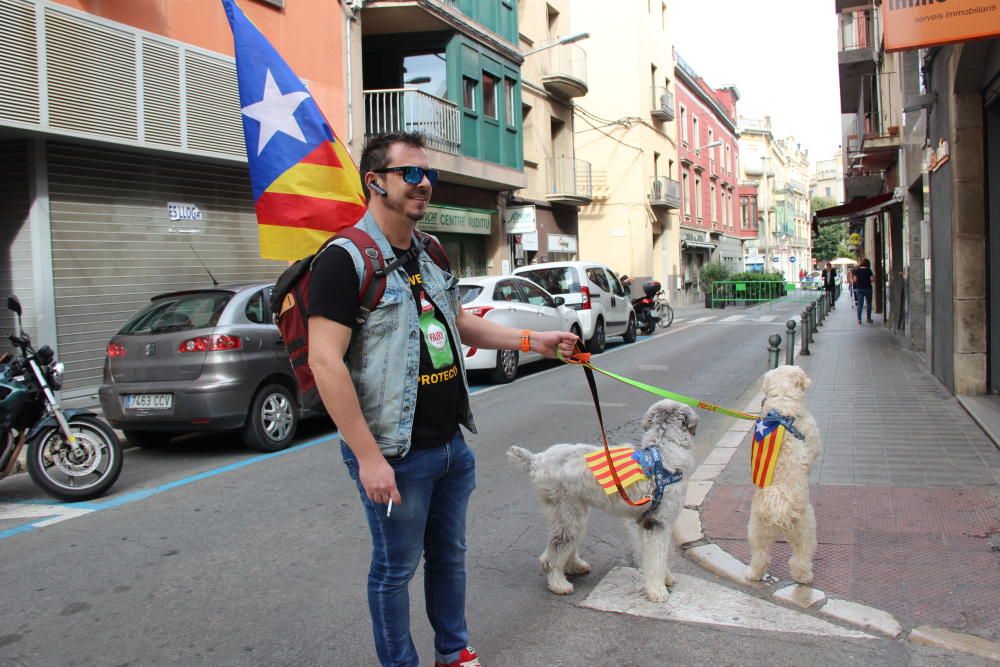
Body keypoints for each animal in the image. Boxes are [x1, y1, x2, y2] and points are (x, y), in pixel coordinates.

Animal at [508, 400, 696, 604]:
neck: (663, 449)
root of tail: (537, 460)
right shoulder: (658, 522)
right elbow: (657, 559)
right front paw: (658, 590)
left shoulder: (644, 522)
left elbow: (651, 556)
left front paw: (664, 579)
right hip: (567, 514)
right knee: (553, 554)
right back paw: (559, 584)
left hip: (575, 514)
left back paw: (575, 566)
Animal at [748, 366, 824, 584]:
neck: (783, 399)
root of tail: (778, 507)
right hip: (805, 530)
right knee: (801, 558)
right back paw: (804, 577)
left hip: (757, 530)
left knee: (760, 555)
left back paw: (753, 574)